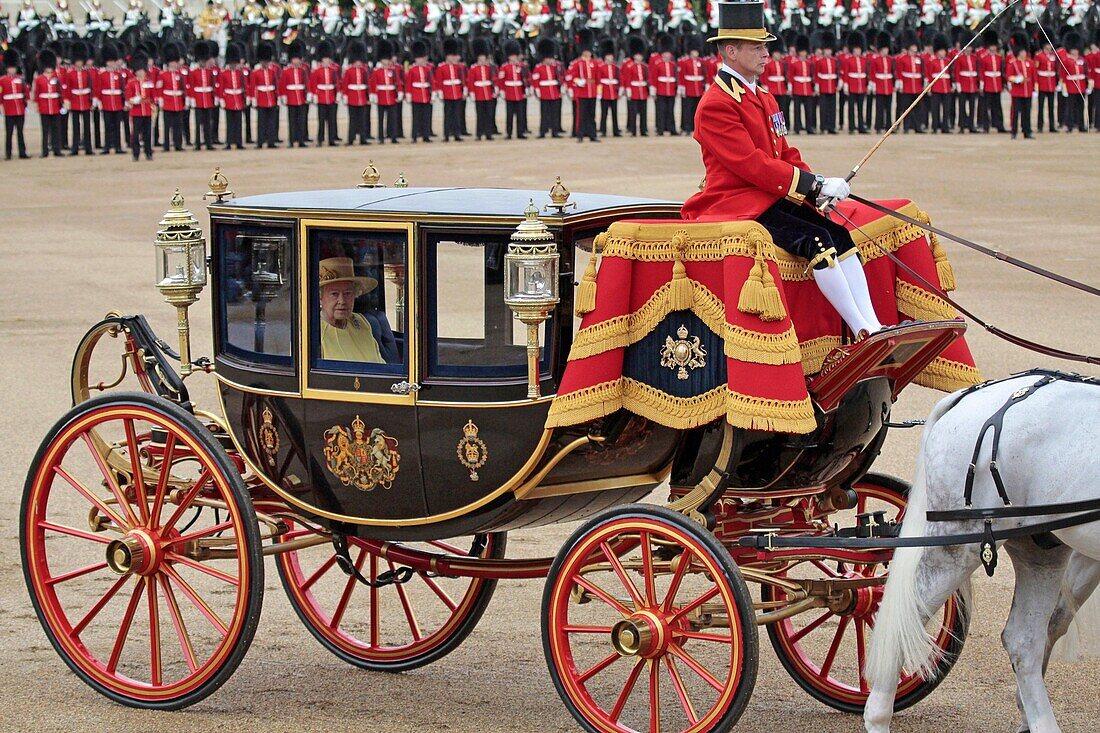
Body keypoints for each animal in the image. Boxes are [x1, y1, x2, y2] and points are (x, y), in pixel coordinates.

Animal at [862, 372, 1095, 730]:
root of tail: (969, 395)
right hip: (959, 546)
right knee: (903, 622)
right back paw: (877, 717)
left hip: (1040, 549)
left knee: (1023, 640)